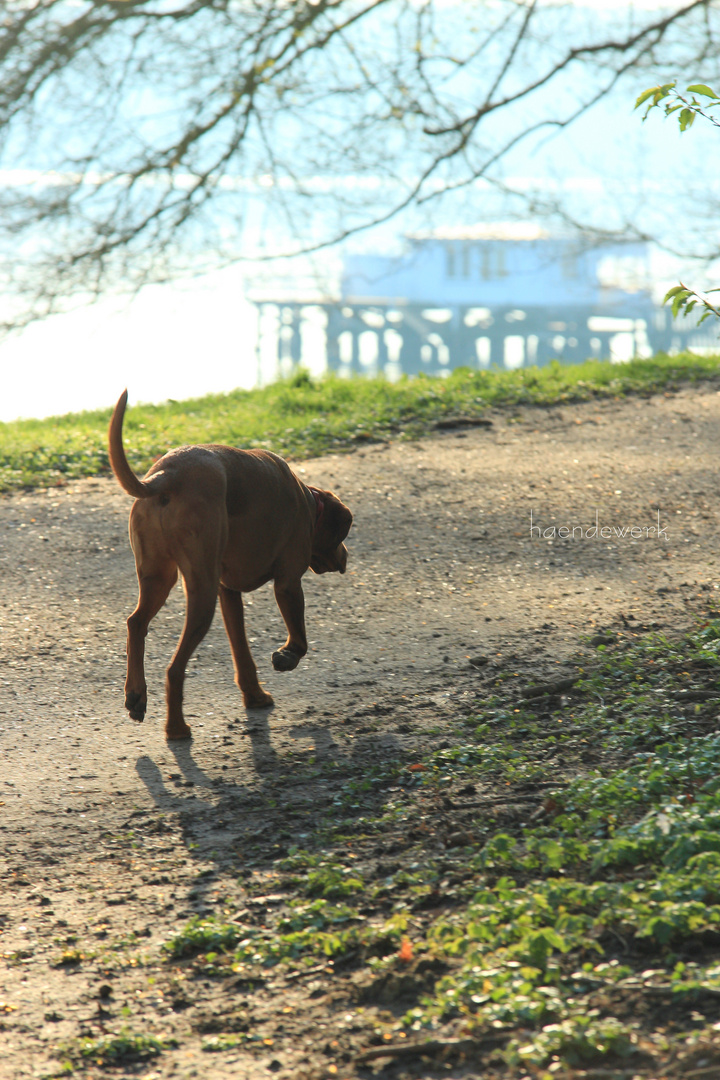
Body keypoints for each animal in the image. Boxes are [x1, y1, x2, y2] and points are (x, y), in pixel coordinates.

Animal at [108, 393, 354, 738]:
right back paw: (176, 727)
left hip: (161, 577)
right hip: (201, 591)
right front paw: (286, 657)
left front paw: (255, 696)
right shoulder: (288, 582)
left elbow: (242, 653)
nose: (345, 557)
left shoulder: (229, 592)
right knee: (173, 668)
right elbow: (300, 640)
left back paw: (136, 696)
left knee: (136, 623)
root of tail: (165, 476)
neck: (309, 500)